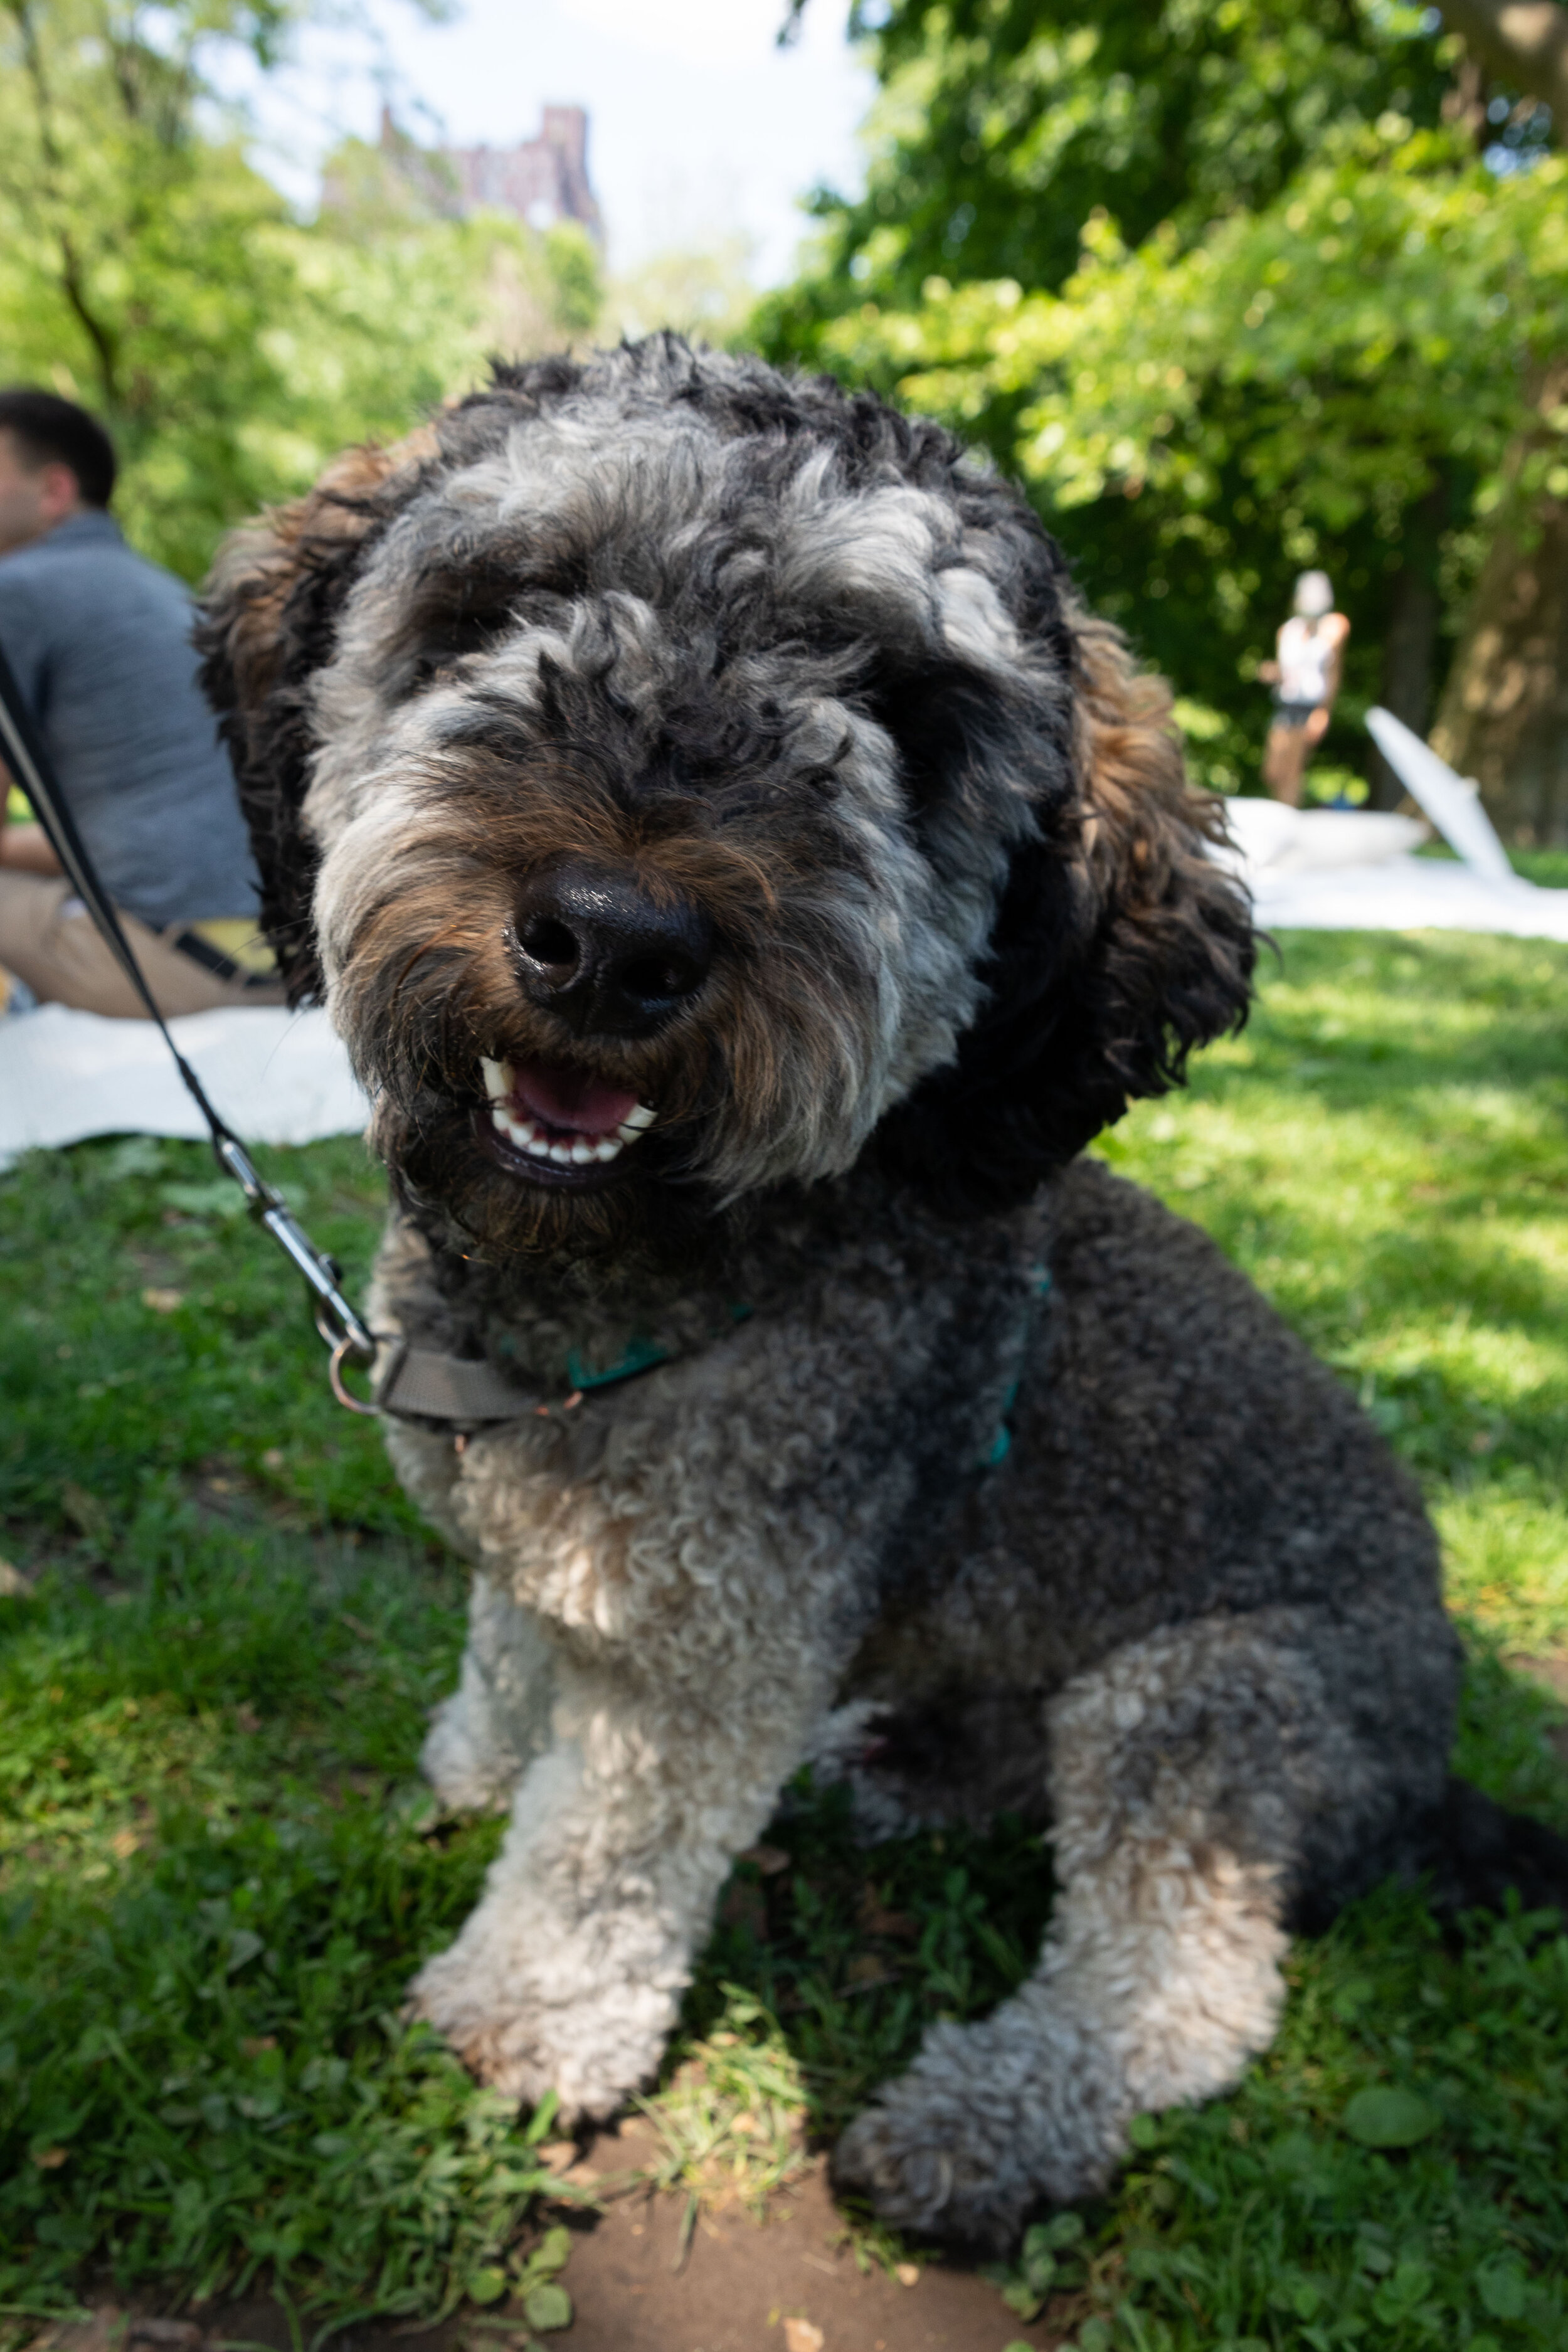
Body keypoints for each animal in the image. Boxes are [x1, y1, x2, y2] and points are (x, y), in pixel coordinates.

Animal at [202, 336, 1560, 2239]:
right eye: (510, 600)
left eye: (905, 709)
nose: (613, 935)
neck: (631, 1284)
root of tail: (1435, 1749)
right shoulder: (547, 1565)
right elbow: (512, 1659)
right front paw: (470, 1766)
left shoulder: (708, 1650)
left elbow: (598, 1848)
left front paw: (518, 2014)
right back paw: (904, 1762)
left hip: (1210, 1704)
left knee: (1187, 1987)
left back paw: (990, 2116)